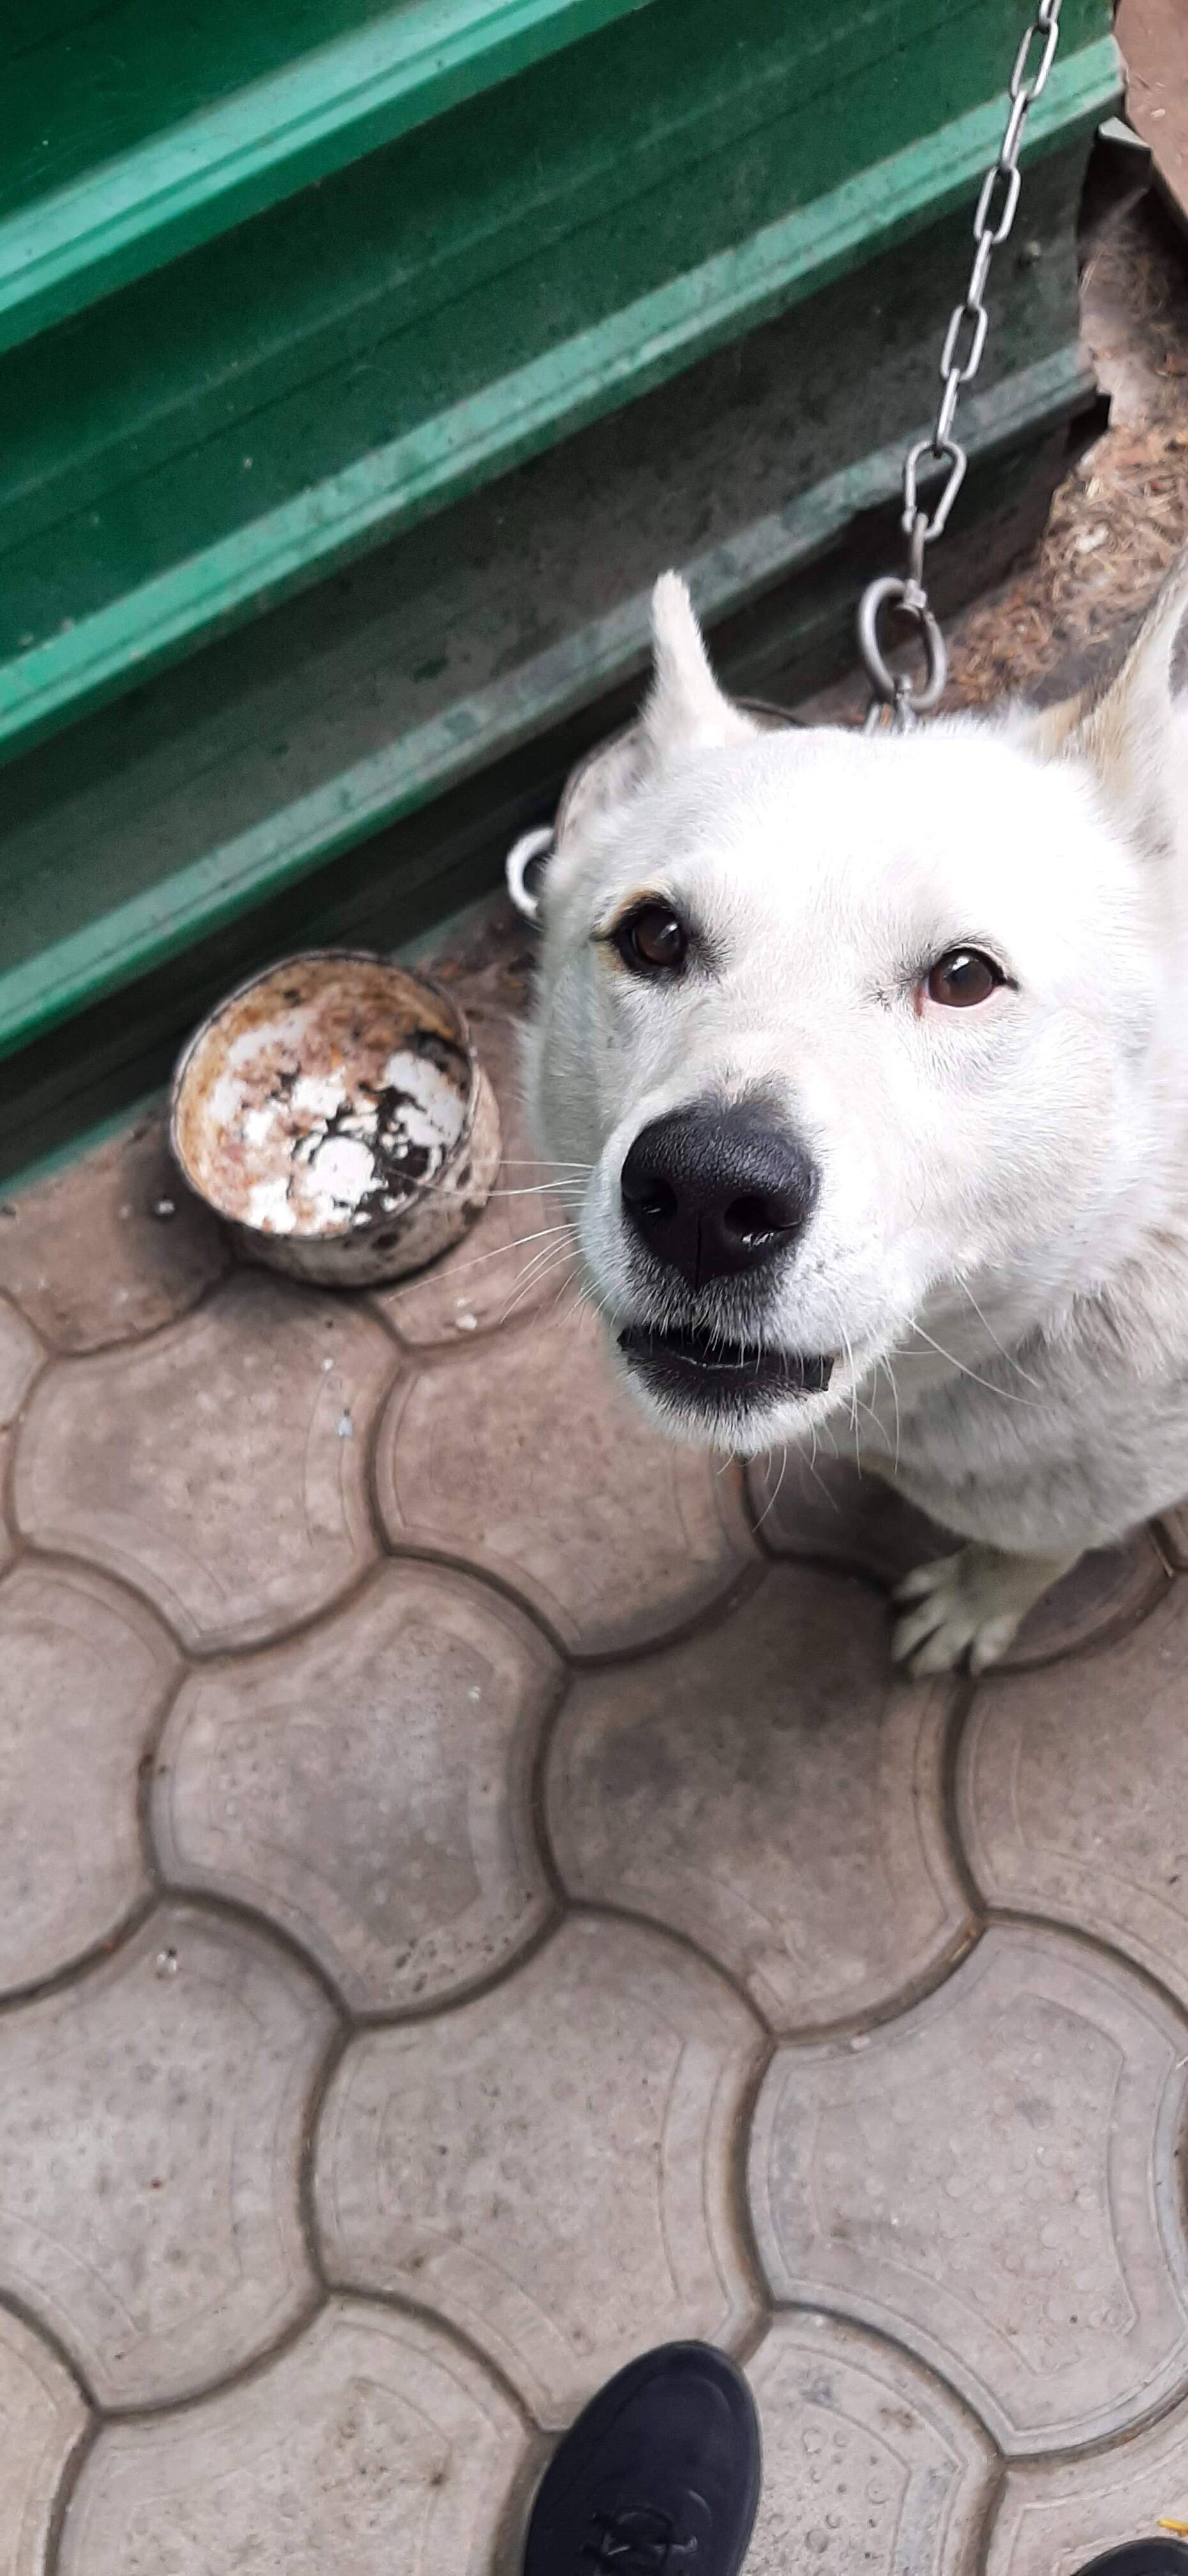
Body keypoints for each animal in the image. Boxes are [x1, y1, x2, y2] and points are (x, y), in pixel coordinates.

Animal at [523, 556, 1185, 1679]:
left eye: (963, 978)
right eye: (654, 937)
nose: (705, 1193)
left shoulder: (1084, 1487)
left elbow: (1029, 1551)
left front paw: (976, 1604)